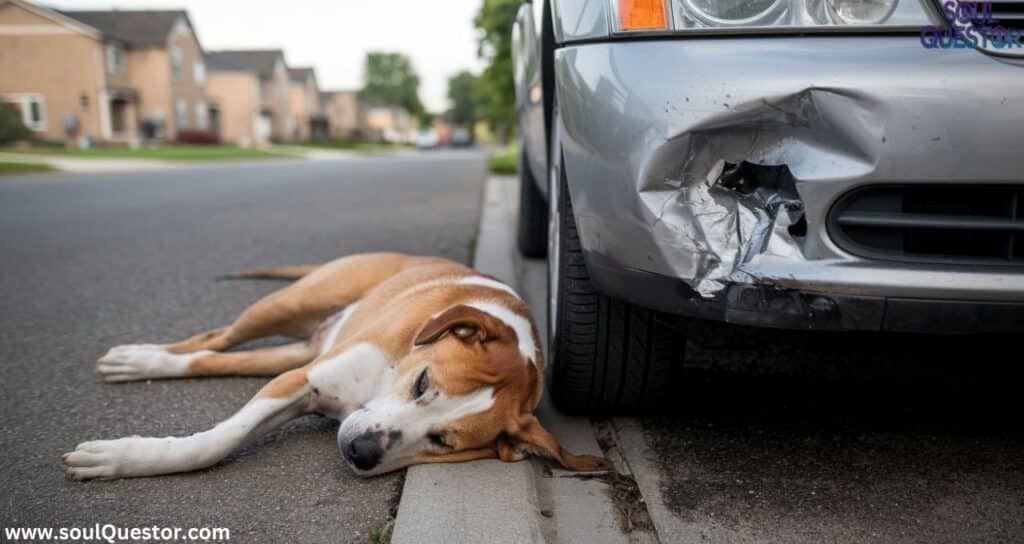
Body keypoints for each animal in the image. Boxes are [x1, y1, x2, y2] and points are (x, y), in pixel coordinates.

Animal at [61, 253, 606, 479]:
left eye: (443, 441)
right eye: (422, 384)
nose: (359, 451)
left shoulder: (299, 377)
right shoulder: (300, 381)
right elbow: (215, 442)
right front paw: (126, 458)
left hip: (292, 350)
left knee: (211, 357)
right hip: (285, 306)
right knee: (212, 339)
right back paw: (142, 358)